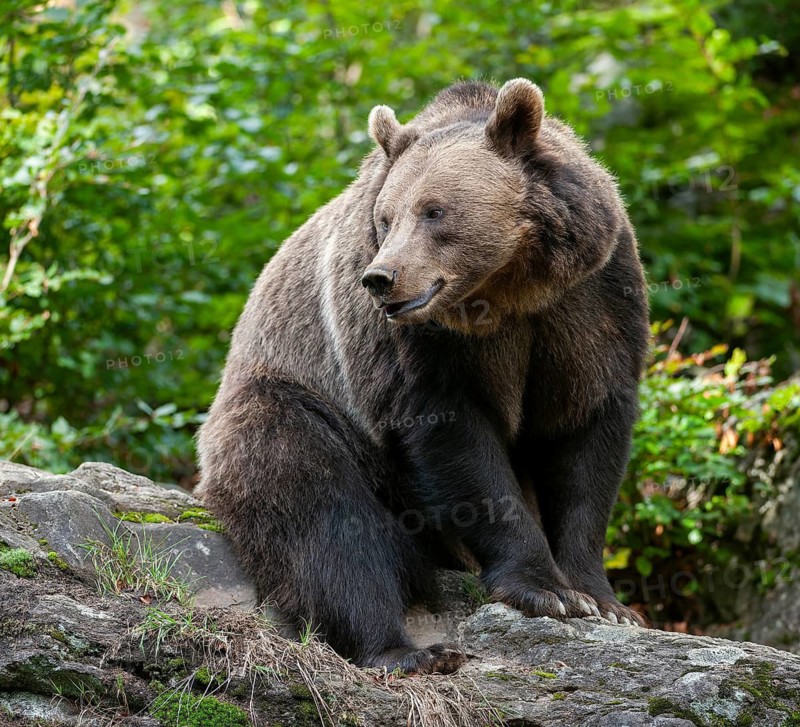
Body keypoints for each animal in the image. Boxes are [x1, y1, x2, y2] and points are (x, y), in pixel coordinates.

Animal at [196, 78, 650, 676]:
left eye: (434, 211)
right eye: (386, 218)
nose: (382, 278)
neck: (509, 287)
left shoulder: (591, 301)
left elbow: (586, 435)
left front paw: (601, 599)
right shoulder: (418, 346)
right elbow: (455, 438)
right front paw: (543, 589)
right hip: (292, 402)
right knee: (319, 509)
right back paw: (406, 650)